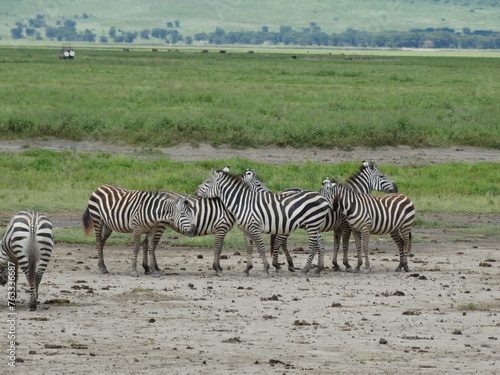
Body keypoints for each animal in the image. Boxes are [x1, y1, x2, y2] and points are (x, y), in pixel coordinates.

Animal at [196, 169, 332, 278]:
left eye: (207, 182)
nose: (195, 191)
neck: (242, 202)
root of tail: (322, 197)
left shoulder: (254, 227)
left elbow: (261, 248)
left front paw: (266, 269)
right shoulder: (246, 230)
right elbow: (249, 249)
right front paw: (247, 269)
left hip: (312, 224)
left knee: (313, 246)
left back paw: (304, 271)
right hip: (311, 225)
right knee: (319, 243)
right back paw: (317, 270)